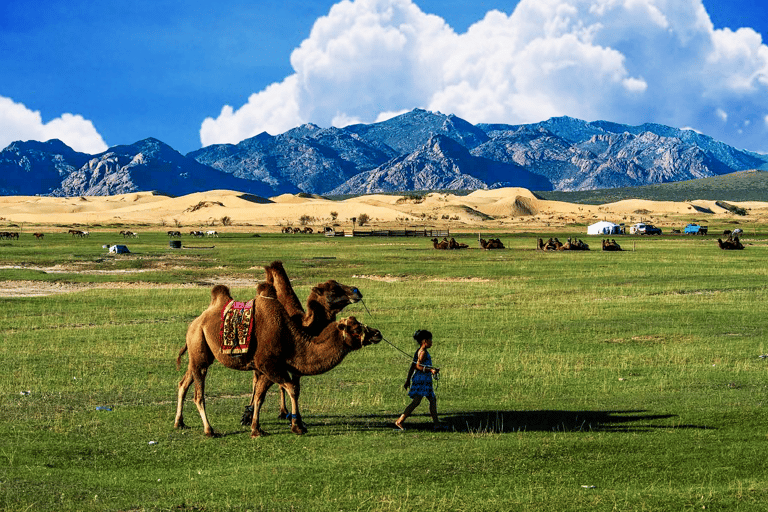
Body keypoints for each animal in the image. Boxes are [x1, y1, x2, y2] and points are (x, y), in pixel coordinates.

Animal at [176, 282, 382, 438]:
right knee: (198, 394)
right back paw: (209, 430)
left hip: (199, 353)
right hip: (199, 348)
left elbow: (260, 396)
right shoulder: (268, 364)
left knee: (183, 382)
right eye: (356, 329)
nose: (377, 333)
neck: (291, 336)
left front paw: (255, 427)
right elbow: (291, 388)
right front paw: (297, 426)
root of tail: (195, 322)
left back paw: (179, 422)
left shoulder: (270, 368)